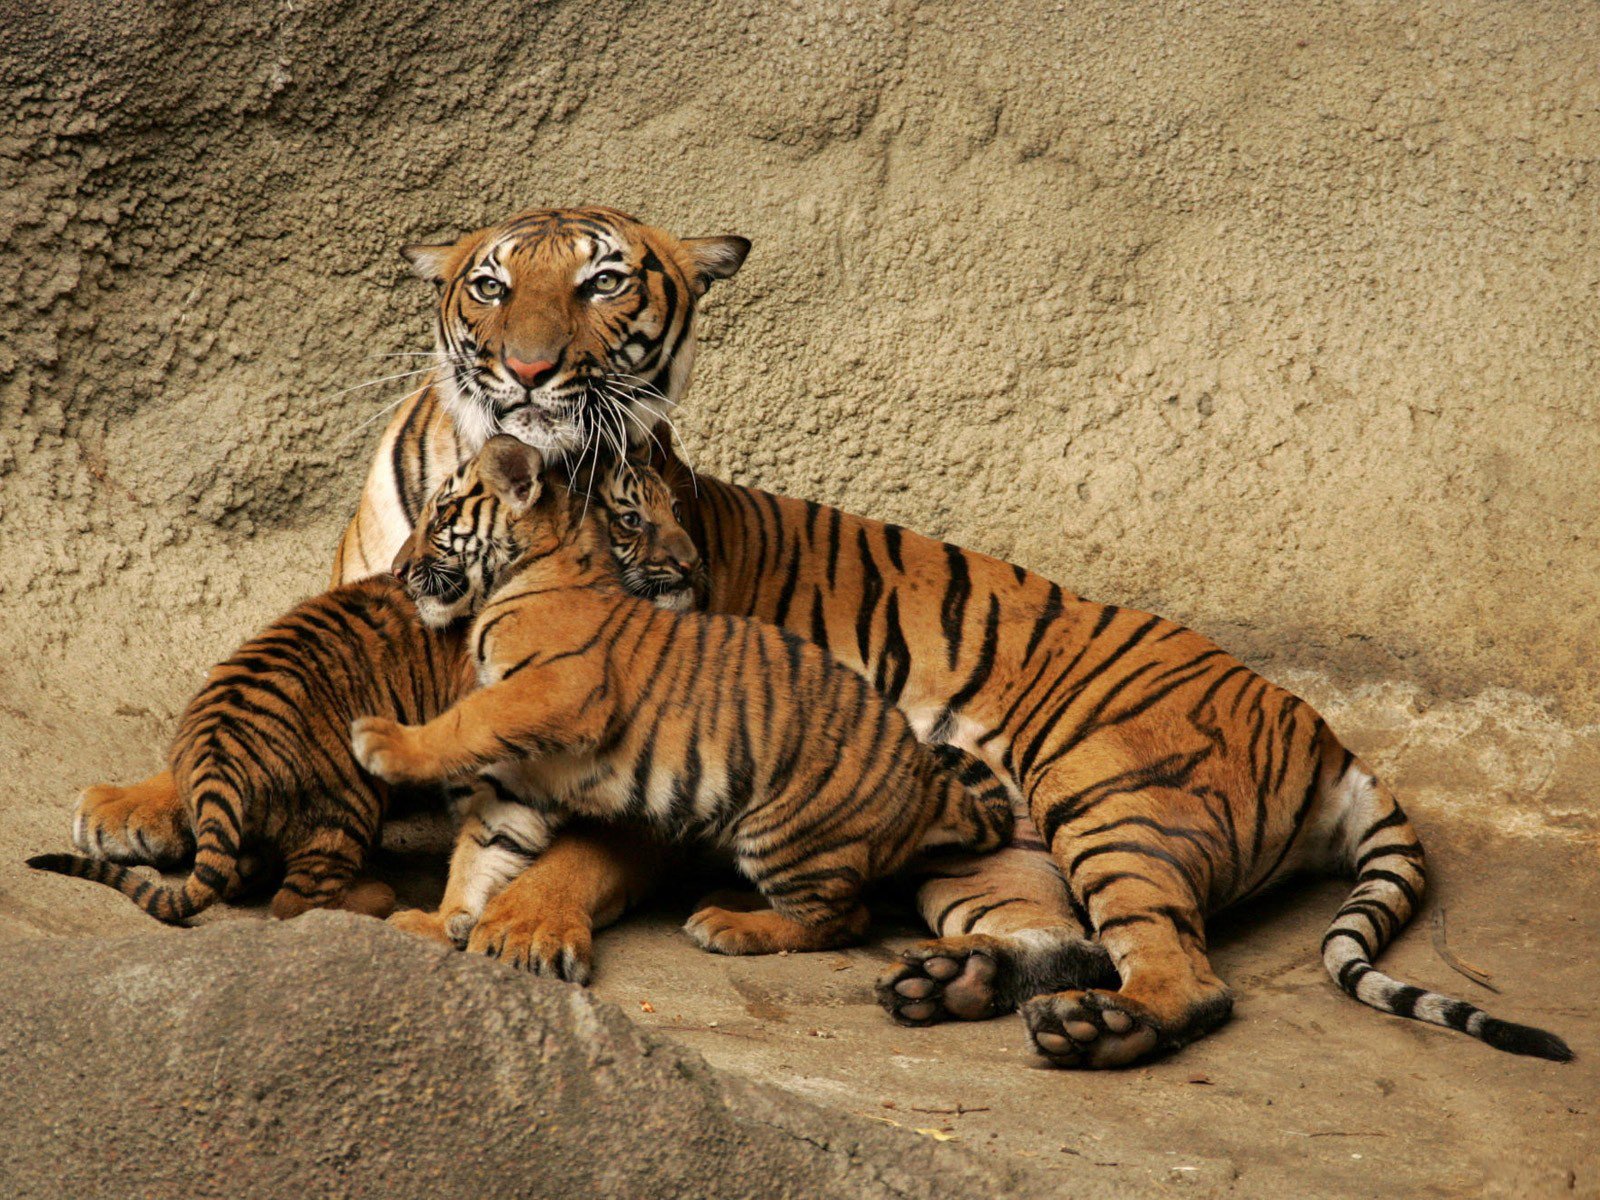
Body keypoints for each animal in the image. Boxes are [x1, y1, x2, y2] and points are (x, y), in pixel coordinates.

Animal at [350, 436, 1014, 959]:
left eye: (441, 513)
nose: (398, 569)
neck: (534, 568)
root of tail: (928, 784)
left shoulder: (556, 690)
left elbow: (467, 722)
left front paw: (382, 743)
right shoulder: (525, 771)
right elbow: (483, 849)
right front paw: (438, 921)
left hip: (786, 830)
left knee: (845, 919)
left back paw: (729, 925)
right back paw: (728, 899)